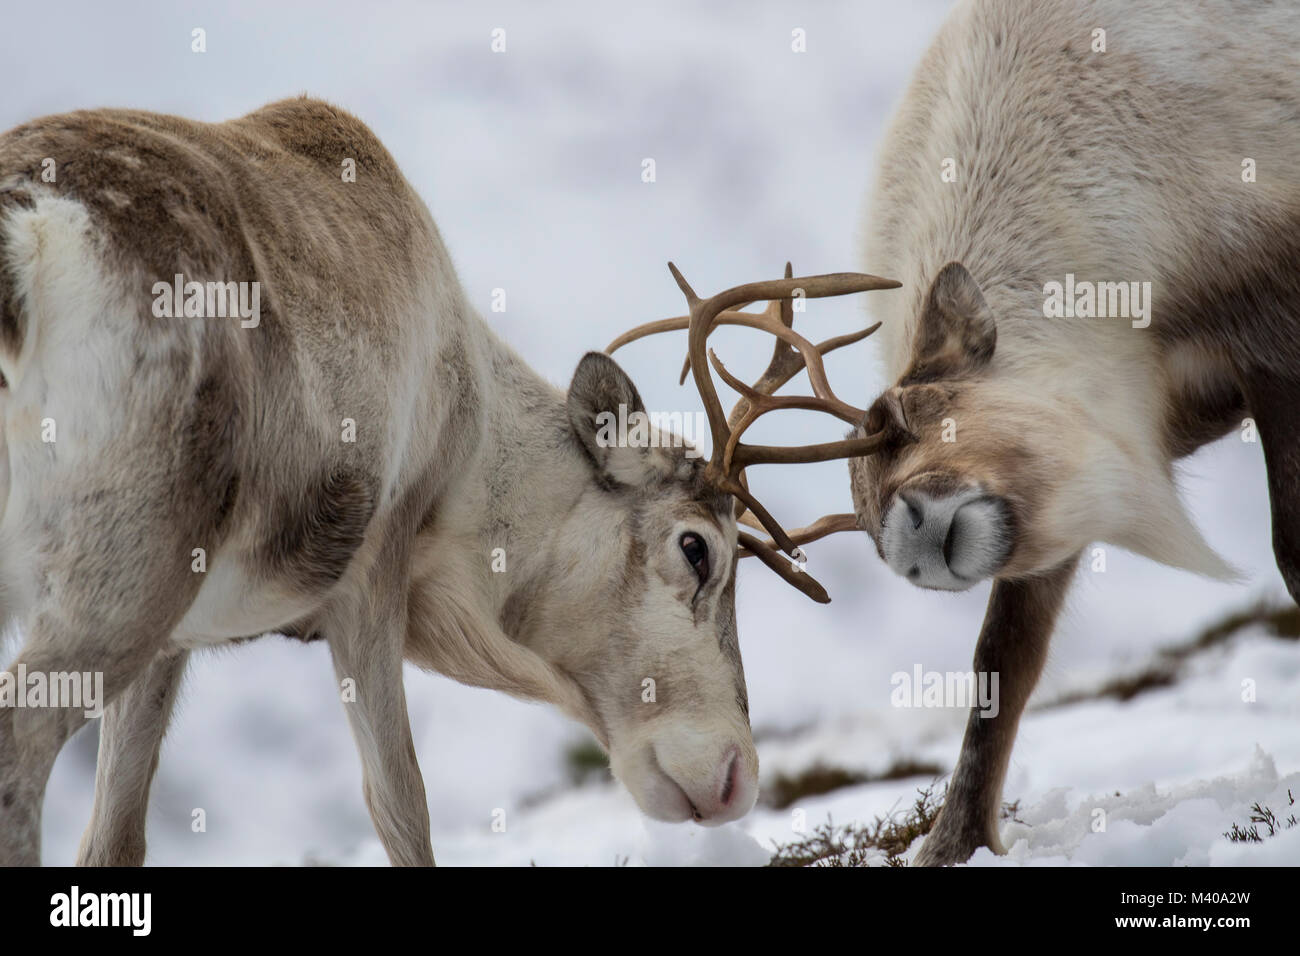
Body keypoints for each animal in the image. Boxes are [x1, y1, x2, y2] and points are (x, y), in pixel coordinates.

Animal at [0, 97, 899, 866]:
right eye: (697, 547)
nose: (735, 777)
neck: (472, 448)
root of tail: (28, 238)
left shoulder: (179, 639)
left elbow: (116, 837)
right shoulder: (370, 571)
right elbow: (402, 805)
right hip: (127, 568)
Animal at [845, 0, 1300, 865]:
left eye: (925, 410)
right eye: (861, 513)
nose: (911, 533)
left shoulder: (1272, 334)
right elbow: (1002, 663)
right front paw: (953, 842)